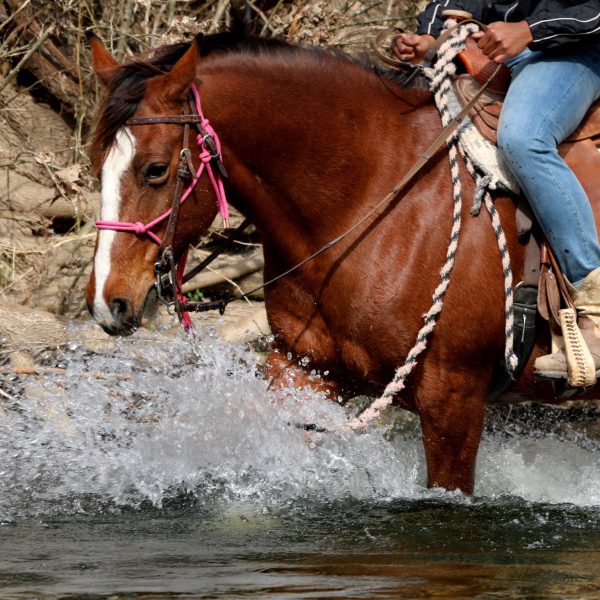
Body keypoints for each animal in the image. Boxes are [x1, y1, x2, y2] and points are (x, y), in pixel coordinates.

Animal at [85, 30, 572, 494]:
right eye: (96, 165)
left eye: (155, 169)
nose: (107, 302)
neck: (373, 202)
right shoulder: (303, 370)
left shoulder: (453, 398)